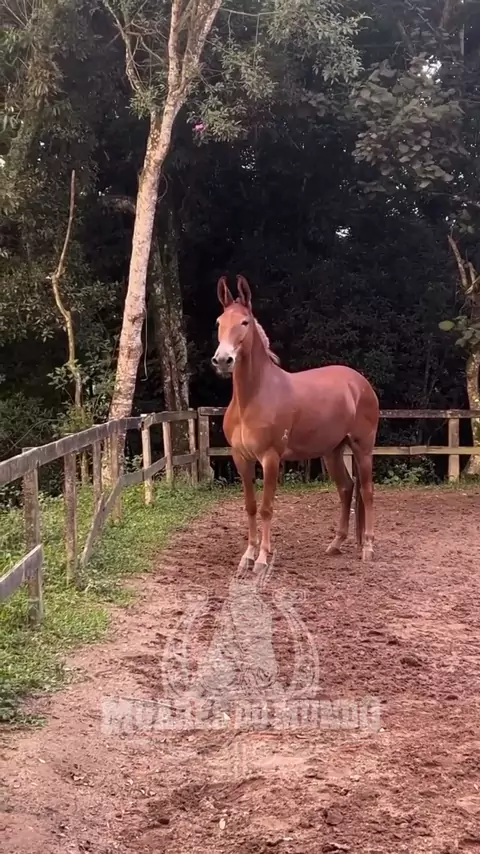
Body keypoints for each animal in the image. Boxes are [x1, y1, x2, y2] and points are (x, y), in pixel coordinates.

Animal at [211, 274, 380, 573]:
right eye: (219, 322)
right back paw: (335, 545)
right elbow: (250, 506)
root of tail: (360, 383)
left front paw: (262, 559)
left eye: (245, 322)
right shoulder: (241, 458)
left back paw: (367, 548)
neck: (253, 397)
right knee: (346, 488)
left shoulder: (270, 458)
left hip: (363, 448)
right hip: (332, 451)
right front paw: (247, 556)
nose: (223, 360)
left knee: (367, 492)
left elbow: (266, 507)